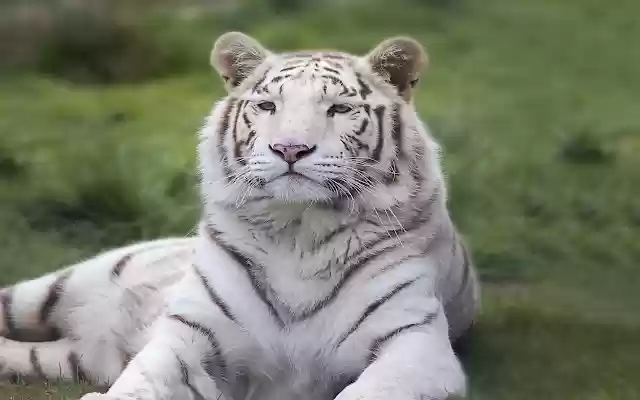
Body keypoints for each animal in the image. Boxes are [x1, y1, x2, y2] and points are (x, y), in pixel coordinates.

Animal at [0, 32, 480, 400]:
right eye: (268, 106)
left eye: (339, 109)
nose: (290, 148)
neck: (298, 232)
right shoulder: (191, 335)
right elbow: (144, 379)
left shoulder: (415, 345)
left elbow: (369, 392)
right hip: (52, 289)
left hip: (69, 359)